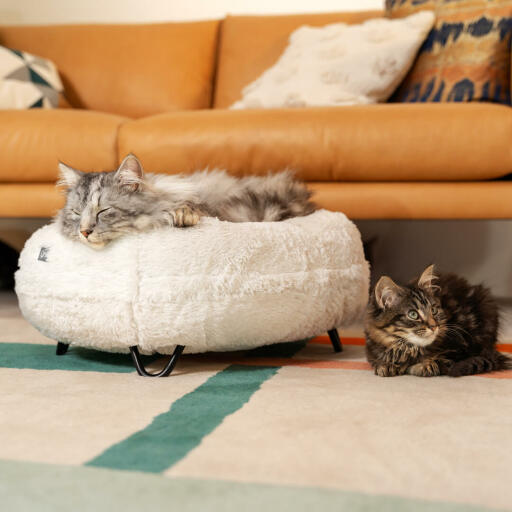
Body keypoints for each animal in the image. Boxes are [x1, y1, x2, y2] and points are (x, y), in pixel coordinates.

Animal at [366, 266, 510, 378]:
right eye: (413, 314)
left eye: (433, 310)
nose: (434, 326)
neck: (409, 348)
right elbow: (378, 361)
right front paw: (387, 365)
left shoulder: (461, 348)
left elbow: (437, 362)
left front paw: (421, 366)